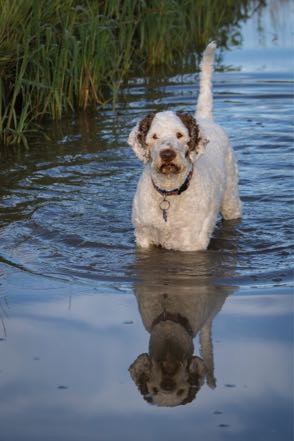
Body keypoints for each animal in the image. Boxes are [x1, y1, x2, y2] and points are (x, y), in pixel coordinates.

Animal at [128, 43, 241, 253]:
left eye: (180, 134)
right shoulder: (143, 237)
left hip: (231, 198)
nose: (167, 154)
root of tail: (205, 118)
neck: (169, 192)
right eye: (154, 136)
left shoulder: (191, 244)